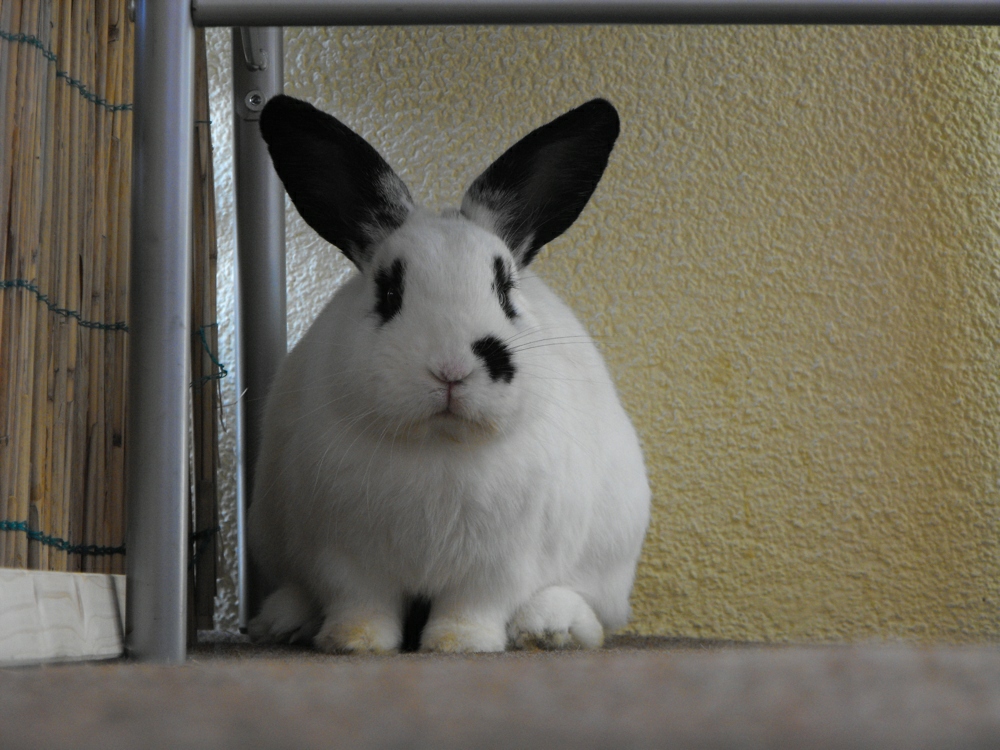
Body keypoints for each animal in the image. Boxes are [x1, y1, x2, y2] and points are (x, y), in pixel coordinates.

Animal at [250, 94, 652, 656]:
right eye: (388, 292)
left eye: (506, 290)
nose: (451, 370)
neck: (440, 444)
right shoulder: (345, 556)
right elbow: (362, 603)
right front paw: (354, 643)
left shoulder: (500, 563)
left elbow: (474, 606)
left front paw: (459, 645)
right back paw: (284, 621)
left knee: (591, 609)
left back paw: (550, 629)